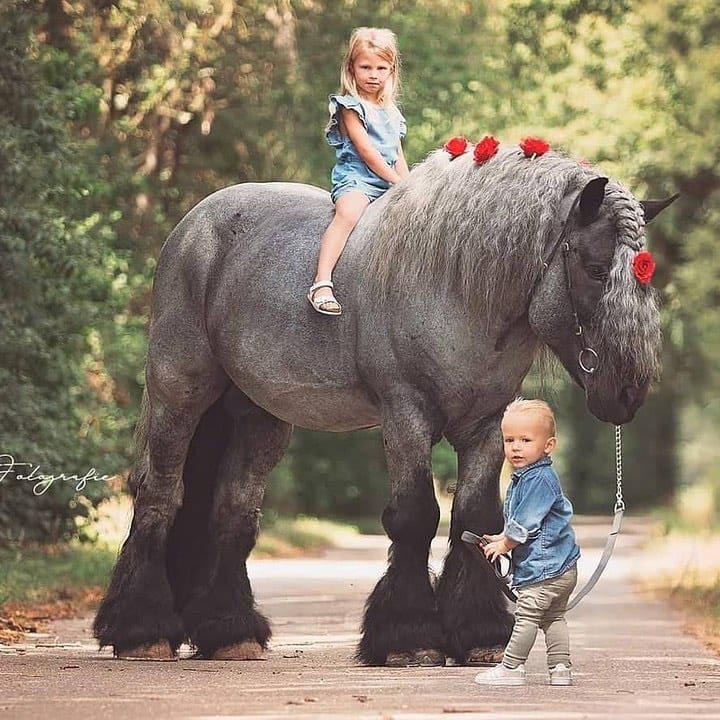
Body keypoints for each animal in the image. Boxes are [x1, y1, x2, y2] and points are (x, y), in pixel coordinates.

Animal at [93, 144, 675, 665]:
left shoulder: (486, 424)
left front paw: (480, 635)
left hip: (258, 415)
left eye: (645, 274)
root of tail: (194, 227)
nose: (627, 393)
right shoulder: (406, 414)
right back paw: (142, 632)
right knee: (159, 495)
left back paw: (230, 634)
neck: (453, 285)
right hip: (180, 391)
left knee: (232, 513)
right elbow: (416, 516)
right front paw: (409, 637)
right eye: (596, 268)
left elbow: (475, 515)